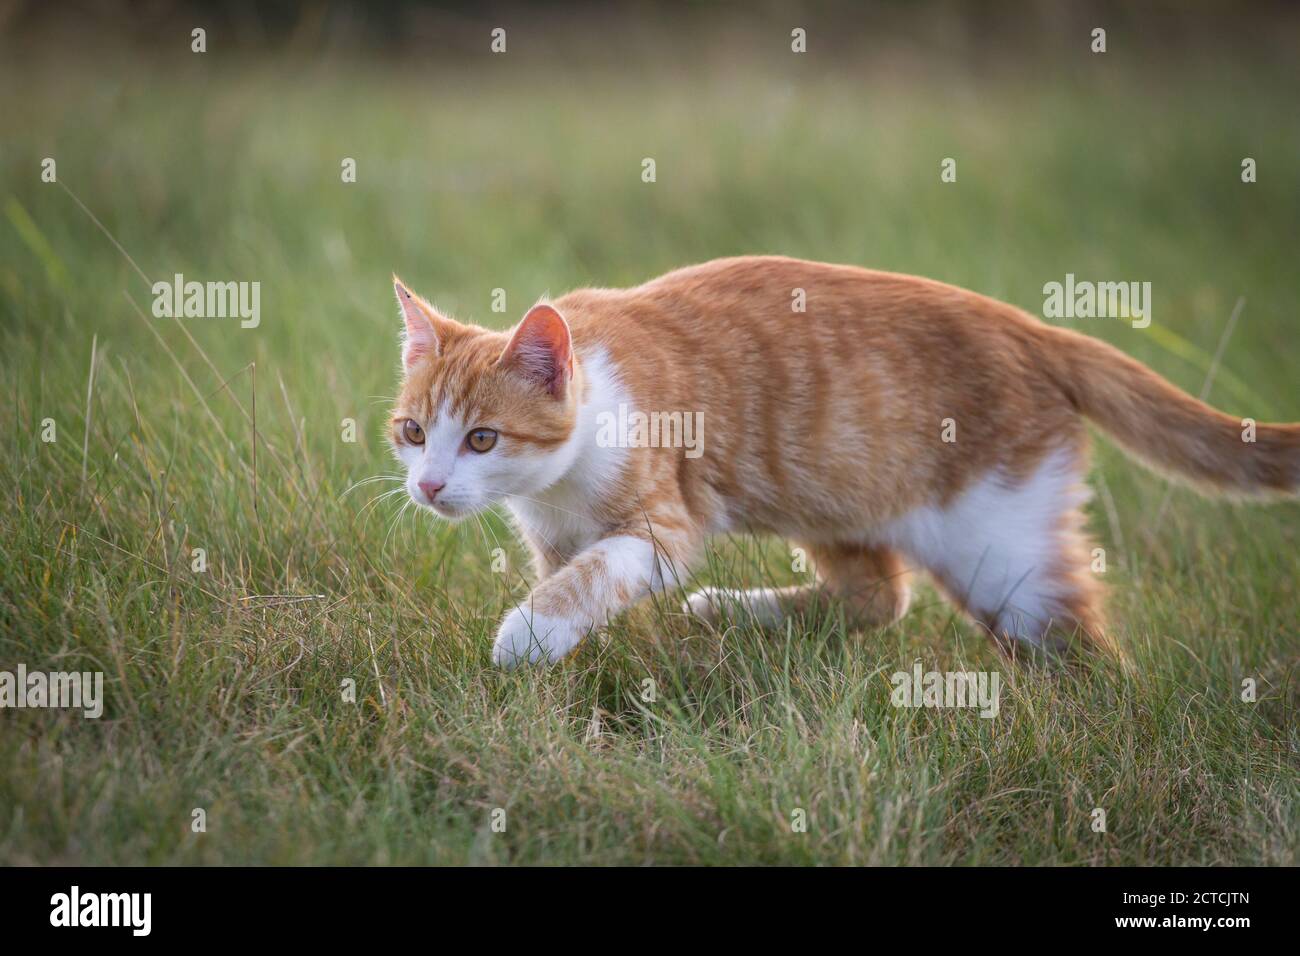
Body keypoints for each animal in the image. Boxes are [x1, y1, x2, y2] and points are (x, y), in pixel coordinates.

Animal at [382, 257, 1289, 671]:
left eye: (483, 439)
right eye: (414, 432)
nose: (428, 486)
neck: (560, 484)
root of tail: (1033, 328)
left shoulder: (663, 524)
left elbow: (601, 572)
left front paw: (528, 635)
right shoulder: (555, 538)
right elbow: (579, 581)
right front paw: (580, 659)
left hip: (1003, 550)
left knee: (1080, 648)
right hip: (826, 492)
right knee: (881, 596)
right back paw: (735, 613)